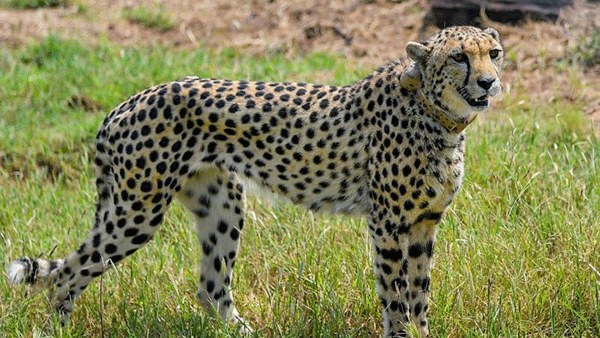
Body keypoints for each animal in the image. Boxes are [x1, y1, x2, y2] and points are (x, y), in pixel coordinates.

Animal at [8, 25, 502, 336]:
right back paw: (60, 330)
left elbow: (420, 295)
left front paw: (422, 331)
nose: (489, 82)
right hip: (137, 212)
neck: (438, 115)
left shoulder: (424, 223)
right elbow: (395, 296)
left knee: (211, 289)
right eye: (459, 57)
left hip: (222, 203)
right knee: (65, 275)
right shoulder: (388, 224)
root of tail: (127, 102)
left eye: (493, 54)